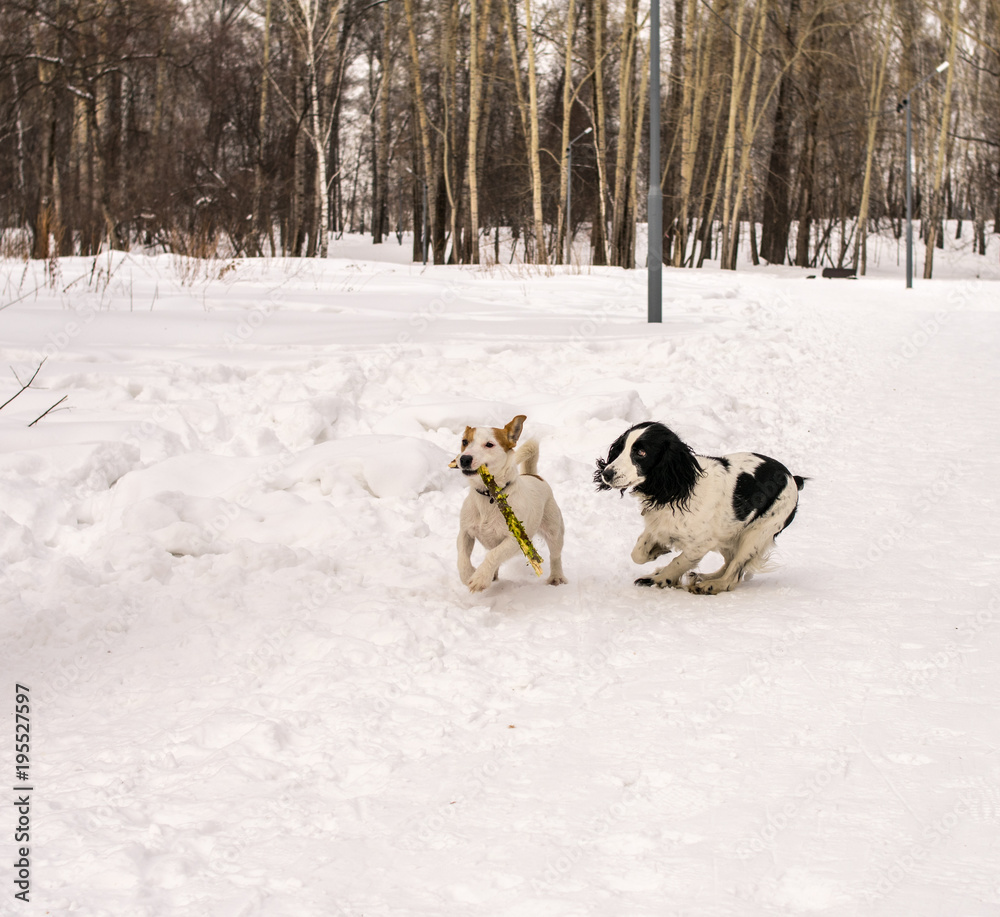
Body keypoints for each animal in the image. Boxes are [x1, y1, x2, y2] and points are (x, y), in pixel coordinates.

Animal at [456, 416, 568, 592]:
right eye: (464, 441)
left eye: (489, 444)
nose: (464, 459)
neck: (490, 495)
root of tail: (533, 475)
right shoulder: (465, 532)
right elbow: (462, 556)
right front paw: (468, 574)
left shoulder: (514, 540)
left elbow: (493, 554)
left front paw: (480, 578)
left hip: (554, 530)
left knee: (555, 555)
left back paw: (556, 577)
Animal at [592, 422, 804, 592]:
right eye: (620, 448)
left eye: (641, 453)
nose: (606, 473)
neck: (676, 490)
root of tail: (792, 477)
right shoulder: (658, 526)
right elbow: (638, 553)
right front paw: (657, 553)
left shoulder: (701, 543)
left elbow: (678, 562)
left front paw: (662, 579)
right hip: (729, 534)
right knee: (728, 563)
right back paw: (701, 577)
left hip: (756, 534)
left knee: (733, 574)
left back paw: (710, 585)